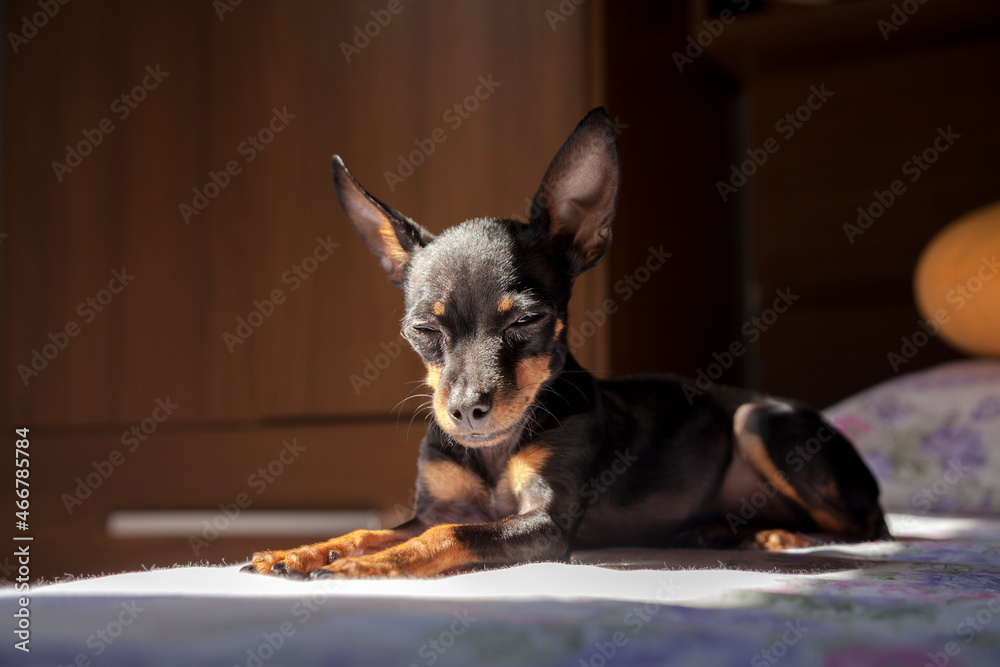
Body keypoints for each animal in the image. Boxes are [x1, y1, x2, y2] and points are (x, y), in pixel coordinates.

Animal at [240, 105, 884, 580]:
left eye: (526, 321)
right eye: (423, 332)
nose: (465, 410)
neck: (494, 453)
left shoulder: (544, 526)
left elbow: (444, 537)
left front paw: (367, 567)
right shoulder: (433, 509)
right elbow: (369, 529)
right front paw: (300, 552)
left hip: (758, 421)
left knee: (866, 527)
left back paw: (778, 534)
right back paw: (718, 530)